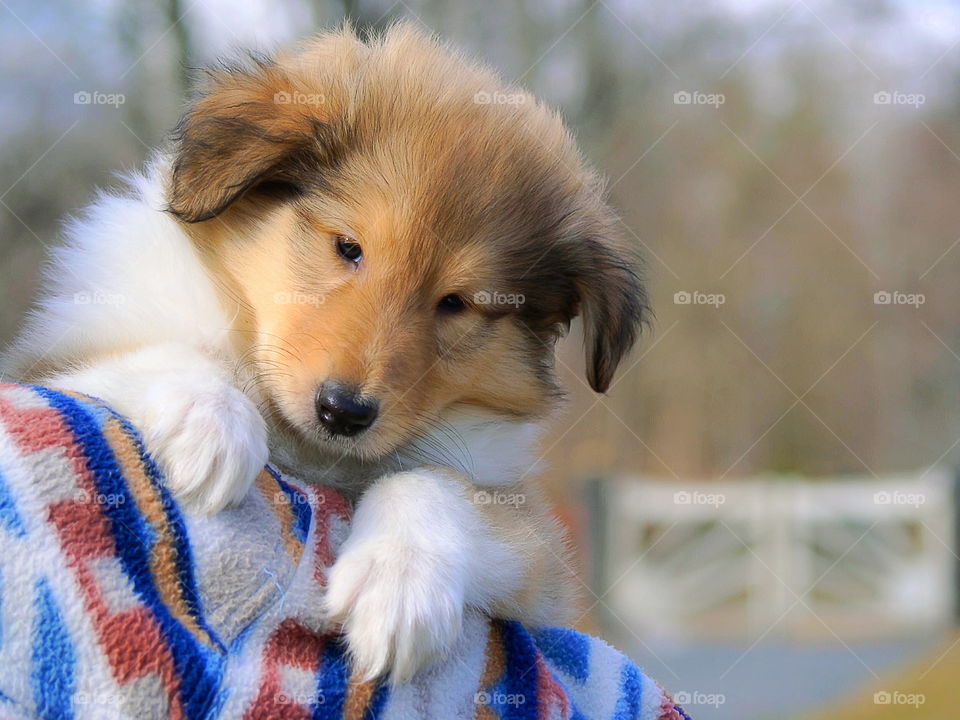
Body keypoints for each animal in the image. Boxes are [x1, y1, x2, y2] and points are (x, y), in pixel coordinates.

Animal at [1, 23, 644, 680]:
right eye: (347, 247)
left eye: (457, 302)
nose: (343, 412)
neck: (308, 450)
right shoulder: (52, 359)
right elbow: (164, 356)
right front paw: (209, 425)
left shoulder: (537, 558)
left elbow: (437, 483)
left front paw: (398, 582)